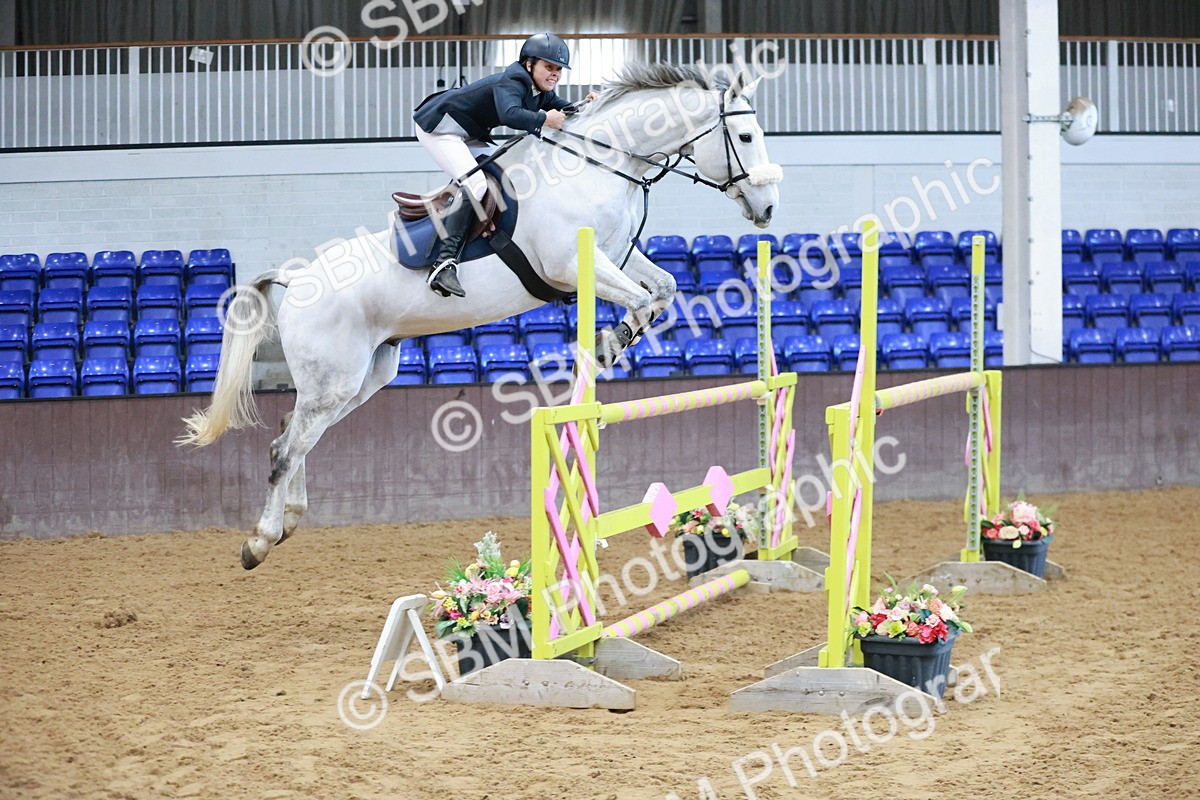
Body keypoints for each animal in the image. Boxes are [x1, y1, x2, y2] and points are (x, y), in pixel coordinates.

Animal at [178, 62, 783, 570]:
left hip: (363, 378)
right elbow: (637, 298)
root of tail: (297, 279)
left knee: (298, 436)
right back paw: (258, 542)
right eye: (745, 137)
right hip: (335, 379)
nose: (768, 208)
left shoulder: (616, 253)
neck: (600, 162)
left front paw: (620, 339)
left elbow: (662, 290)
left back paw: (289, 522)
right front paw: (613, 341)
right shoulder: (572, 264)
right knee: (286, 447)